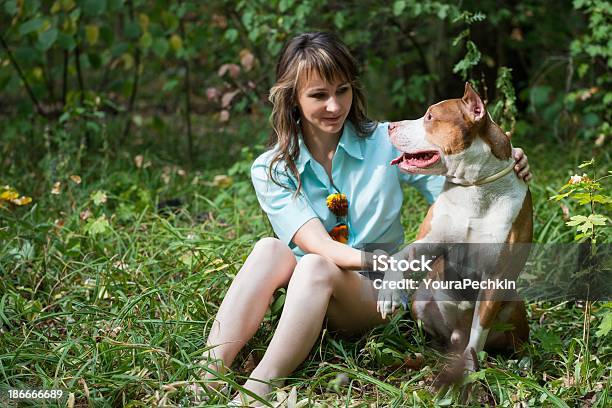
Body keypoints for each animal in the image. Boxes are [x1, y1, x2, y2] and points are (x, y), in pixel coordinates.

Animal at [382, 83, 532, 388]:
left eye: (430, 117)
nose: (389, 125)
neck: (474, 187)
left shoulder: (495, 276)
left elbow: (478, 333)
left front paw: (469, 370)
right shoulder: (430, 243)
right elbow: (401, 255)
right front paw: (388, 290)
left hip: (514, 302)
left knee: (516, 341)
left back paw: (523, 363)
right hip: (421, 300)